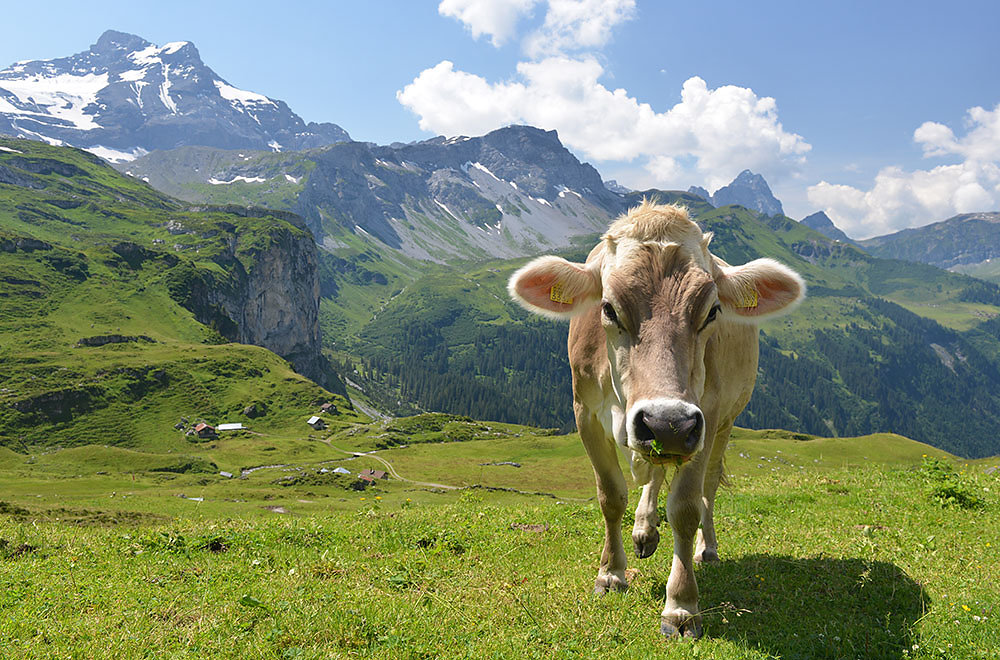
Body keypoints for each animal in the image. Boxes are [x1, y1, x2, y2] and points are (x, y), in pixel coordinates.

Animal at [508, 202, 804, 640]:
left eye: (712, 311)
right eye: (608, 308)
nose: (667, 423)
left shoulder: (704, 415)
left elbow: (685, 507)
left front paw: (681, 606)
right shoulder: (584, 412)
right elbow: (611, 496)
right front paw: (611, 573)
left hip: (722, 423)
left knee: (707, 486)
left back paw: (705, 548)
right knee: (654, 470)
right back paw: (644, 528)